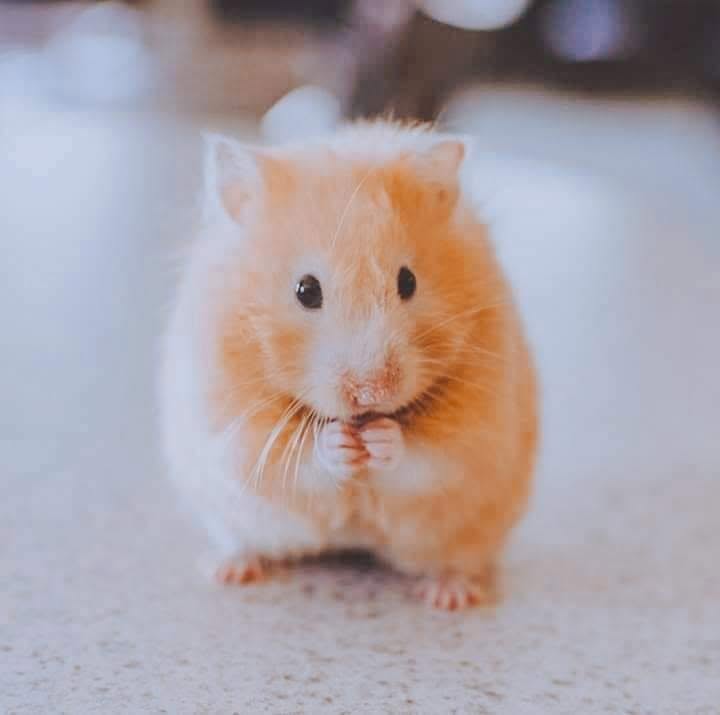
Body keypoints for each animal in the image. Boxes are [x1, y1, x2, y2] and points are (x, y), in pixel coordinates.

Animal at [159, 120, 538, 610]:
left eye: (408, 281)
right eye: (305, 290)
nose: (371, 393)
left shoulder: (475, 431)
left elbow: (425, 455)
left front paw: (380, 438)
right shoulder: (234, 425)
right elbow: (297, 458)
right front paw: (340, 443)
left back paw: (449, 596)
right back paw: (229, 570)